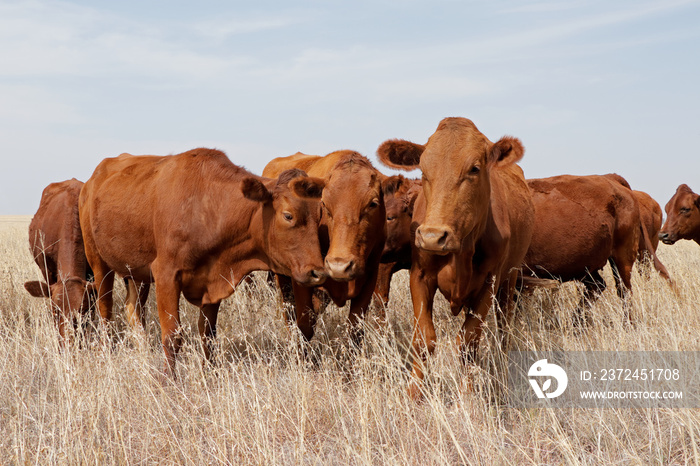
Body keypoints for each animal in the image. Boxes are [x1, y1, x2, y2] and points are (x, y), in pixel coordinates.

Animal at [80, 147, 328, 374]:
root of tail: (91, 181)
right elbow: (172, 335)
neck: (206, 208)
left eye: (319, 216)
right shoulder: (166, 275)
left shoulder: (212, 280)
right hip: (99, 262)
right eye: (288, 215)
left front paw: (210, 373)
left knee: (133, 311)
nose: (318, 272)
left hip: (135, 272)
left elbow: (208, 335)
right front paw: (168, 381)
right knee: (105, 311)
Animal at [264, 150, 394, 342]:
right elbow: (305, 327)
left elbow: (355, 332)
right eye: (324, 204)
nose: (339, 266)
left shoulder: (369, 281)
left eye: (373, 204)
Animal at [380, 117, 532, 396]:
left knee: (505, 328)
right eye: (423, 170)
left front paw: (468, 394)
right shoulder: (419, 276)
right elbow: (424, 339)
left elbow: (469, 341)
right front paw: (414, 393)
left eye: (474, 169)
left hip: (510, 279)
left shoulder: (489, 282)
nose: (432, 236)